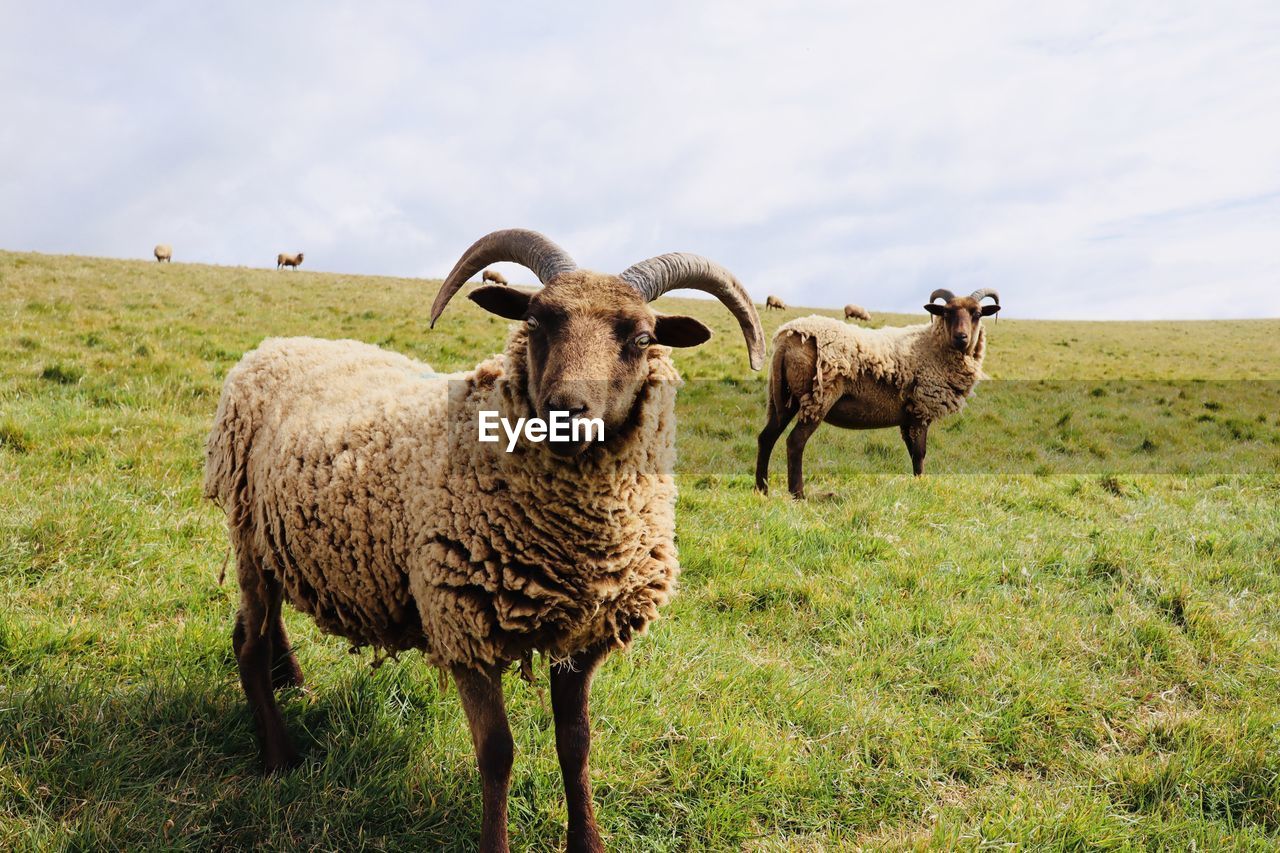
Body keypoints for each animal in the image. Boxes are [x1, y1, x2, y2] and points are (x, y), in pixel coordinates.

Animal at [199, 225, 757, 850]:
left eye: (641, 338)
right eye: (536, 320)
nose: (567, 413)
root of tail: (272, 345)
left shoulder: (583, 636)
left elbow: (577, 745)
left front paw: (587, 840)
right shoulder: (462, 624)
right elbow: (497, 755)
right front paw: (497, 843)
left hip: (278, 540)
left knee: (266, 620)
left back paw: (291, 681)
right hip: (247, 530)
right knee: (246, 642)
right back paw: (278, 756)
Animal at [757, 285, 998, 491]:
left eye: (977, 314)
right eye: (946, 313)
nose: (961, 337)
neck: (933, 346)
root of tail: (786, 337)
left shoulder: (908, 416)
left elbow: (913, 453)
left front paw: (916, 483)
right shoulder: (921, 410)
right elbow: (920, 453)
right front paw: (922, 485)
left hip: (783, 398)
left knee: (766, 438)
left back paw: (762, 490)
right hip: (818, 398)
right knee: (795, 442)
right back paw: (798, 494)